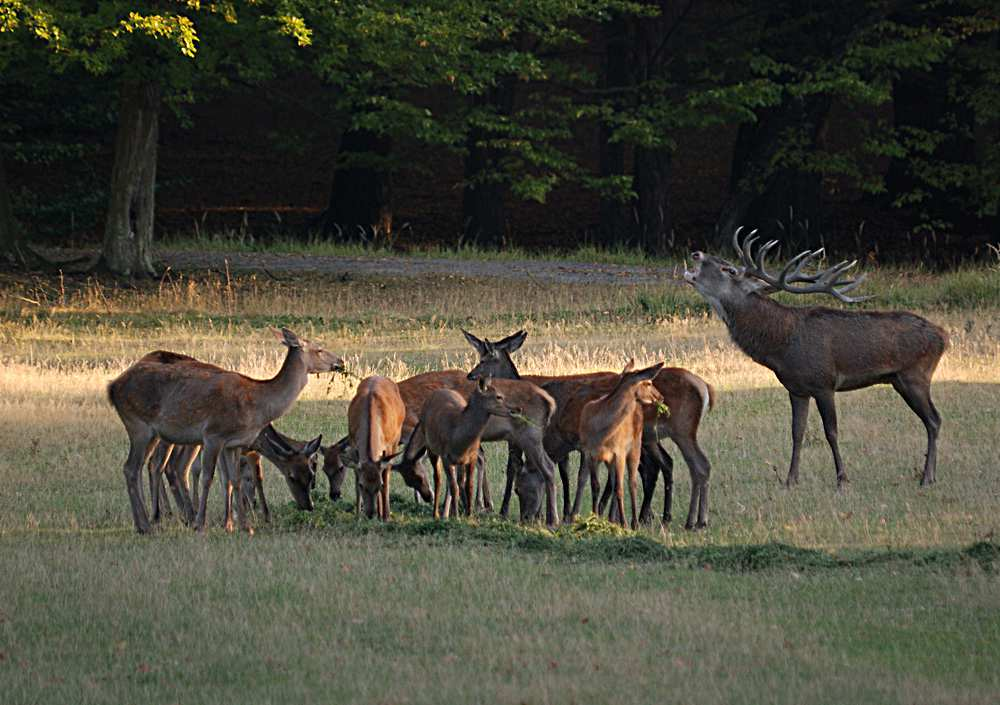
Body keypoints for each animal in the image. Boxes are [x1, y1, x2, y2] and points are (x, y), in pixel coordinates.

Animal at [107, 330, 344, 532]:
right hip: (138, 425)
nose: (340, 362)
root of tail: (112, 387)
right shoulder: (214, 435)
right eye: (319, 349)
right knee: (135, 468)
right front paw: (203, 525)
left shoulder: (234, 443)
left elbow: (234, 479)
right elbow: (209, 478)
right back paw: (150, 523)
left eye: (311, 473)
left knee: (144, 467)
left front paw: (243, 526)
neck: (257, 408)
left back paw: (148, 521)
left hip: (154, 434)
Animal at [346, 376, 404, 520]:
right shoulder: (353, 440)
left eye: (380, 485)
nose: (370, 513)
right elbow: (355, 475)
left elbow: (386, 477)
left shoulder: (388, 446)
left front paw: (386, 516)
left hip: (396, 438)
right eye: (361, 485)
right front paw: (357, 516)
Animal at [572, 366, 664, 524]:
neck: (601, 434)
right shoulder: (589, 453)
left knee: (631, 483)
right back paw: (612, 519)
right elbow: (595, 486)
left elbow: (620, 488)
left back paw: (633, 522)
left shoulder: (619, 452)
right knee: (614, 483)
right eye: (648, 383)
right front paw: (594, 518)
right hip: (610, 461)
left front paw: (624, 523)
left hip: (635, 447)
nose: (661, 397)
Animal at [684, 231, 948, 490]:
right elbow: (797, 431)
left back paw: (927, 477)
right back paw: (931, 475)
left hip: (915, 375)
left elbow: (831, 431)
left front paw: (842, 480)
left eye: (729, 270)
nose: (696, 253)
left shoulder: (824, 383)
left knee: (934, 419)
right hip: (901, 380)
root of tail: (943, 336)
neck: (782, 346)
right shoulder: (796, 389)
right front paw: (790, 480)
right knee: (932, 420)